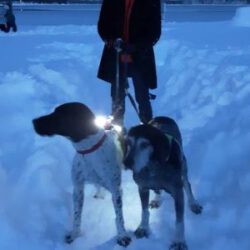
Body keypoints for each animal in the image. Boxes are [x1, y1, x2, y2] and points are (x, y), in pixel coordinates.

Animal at [32, 102, 131, 247]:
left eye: (58, 115)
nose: (34, 121)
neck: (89, 151)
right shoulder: (78, 188)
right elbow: (77, 215)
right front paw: (75, 233)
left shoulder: (115, 190)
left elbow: (119, 217)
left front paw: (122, 235)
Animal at [124, 116, 202, 250]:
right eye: (128, 143)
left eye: (144, 144)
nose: (127, 162)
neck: (152, 167)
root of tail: (162, 117)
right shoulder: (142, 187)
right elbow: (144, 211)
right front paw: (143, 227)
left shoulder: (177, 192)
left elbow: (179, 221)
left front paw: (179, 241)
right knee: (158, 190)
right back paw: (156, 199)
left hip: (183, 166)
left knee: (187, 185)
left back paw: (193, 203)